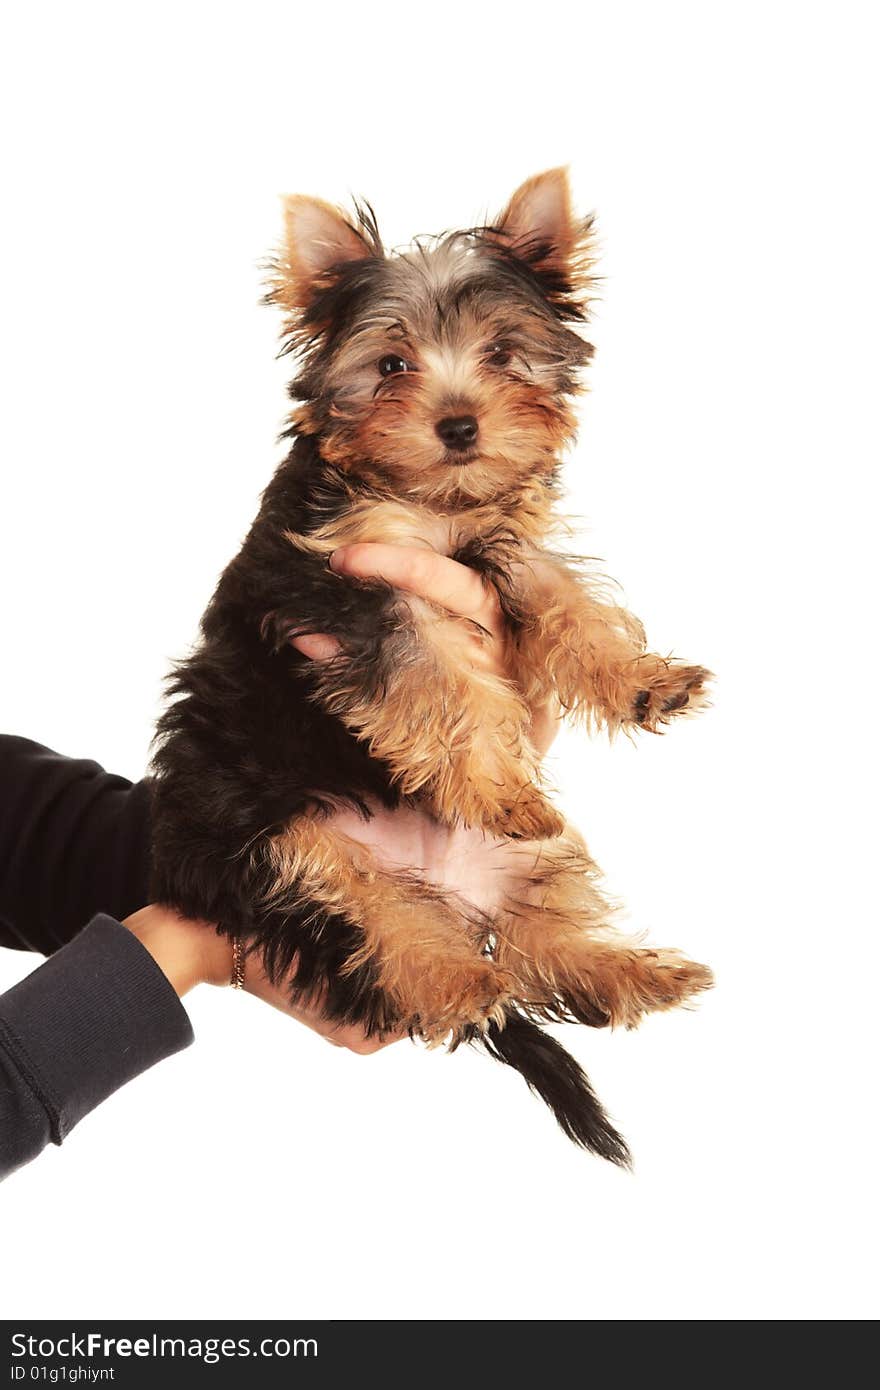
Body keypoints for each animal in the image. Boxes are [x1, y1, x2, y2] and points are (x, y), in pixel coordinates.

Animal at [149, 165, 711, 1162]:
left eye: (503, 353)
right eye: (390, 367)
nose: (458, 426)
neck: (430, 503)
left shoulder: (498, 542)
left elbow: (562, 594)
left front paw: (640, 680)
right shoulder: (350, 585)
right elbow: (432, 669)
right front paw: (495, 782)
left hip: (517, 870)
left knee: (533, 940)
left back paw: (631, 973)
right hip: (271, 842)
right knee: (374, 921)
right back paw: (461, 983)